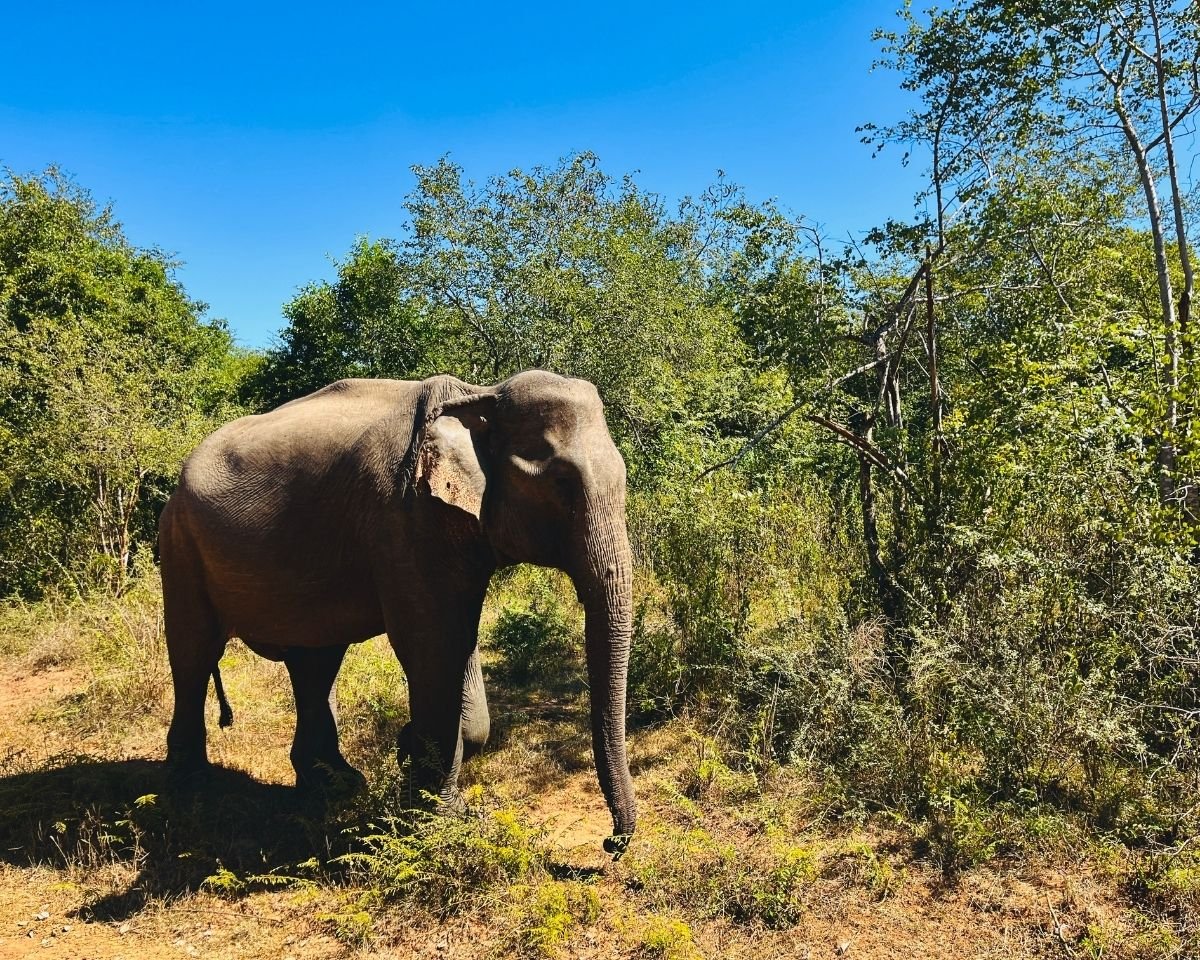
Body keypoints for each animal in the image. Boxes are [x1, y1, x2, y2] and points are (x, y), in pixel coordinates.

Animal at [158, 370, 636, 855]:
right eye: (561, 483)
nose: (610, 844)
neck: (479, 396)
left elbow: (461, 640)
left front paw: (415, 761)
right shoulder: (404, 519)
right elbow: (433, 645)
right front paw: (435, 818)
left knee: (315, 661)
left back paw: (335, 786)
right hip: (179, 543)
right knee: (194, 651)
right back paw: (190, 786)